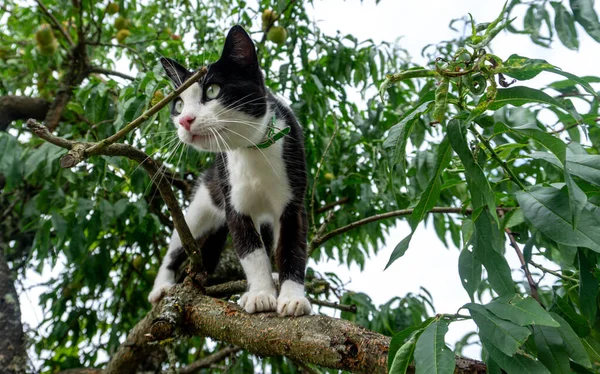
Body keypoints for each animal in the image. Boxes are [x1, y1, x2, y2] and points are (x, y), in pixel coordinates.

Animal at [148, 25, 312, 316]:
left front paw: (292, 297)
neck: (251, 149)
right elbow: (251, 251)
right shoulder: (233, 200)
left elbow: (292, 246)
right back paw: (162, 286)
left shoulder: (293, 198)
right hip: (204, 201)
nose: (185, 120)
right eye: (178, 105)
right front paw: (260, 295)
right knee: (179, 243)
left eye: (213, 90)